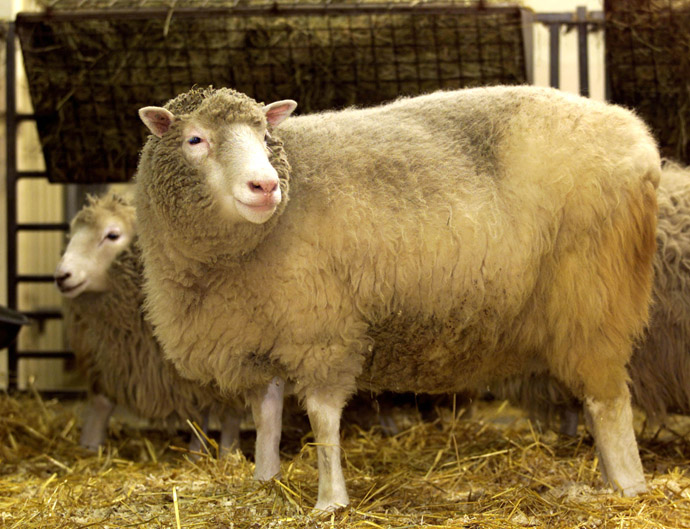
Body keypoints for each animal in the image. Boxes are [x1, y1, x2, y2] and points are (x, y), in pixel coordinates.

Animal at [55, 192, 245, 456]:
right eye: (72, 234)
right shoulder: (107, 359)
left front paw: (227, 455)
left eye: (112, 235)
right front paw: (89, 446)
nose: (62, 276)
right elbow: (101, 405)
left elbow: (229, 418)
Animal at [133, 84, 656, 510]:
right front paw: (264, 479)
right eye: (194, 139)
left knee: (608, 400)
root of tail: (637, 136)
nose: (265, 186)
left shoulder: (323, 330)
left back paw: (628, 486)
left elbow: (323, 419)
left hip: (592, 295)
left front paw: (330, 501)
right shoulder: (259, 333)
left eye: (264, 136)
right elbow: (266, 417)